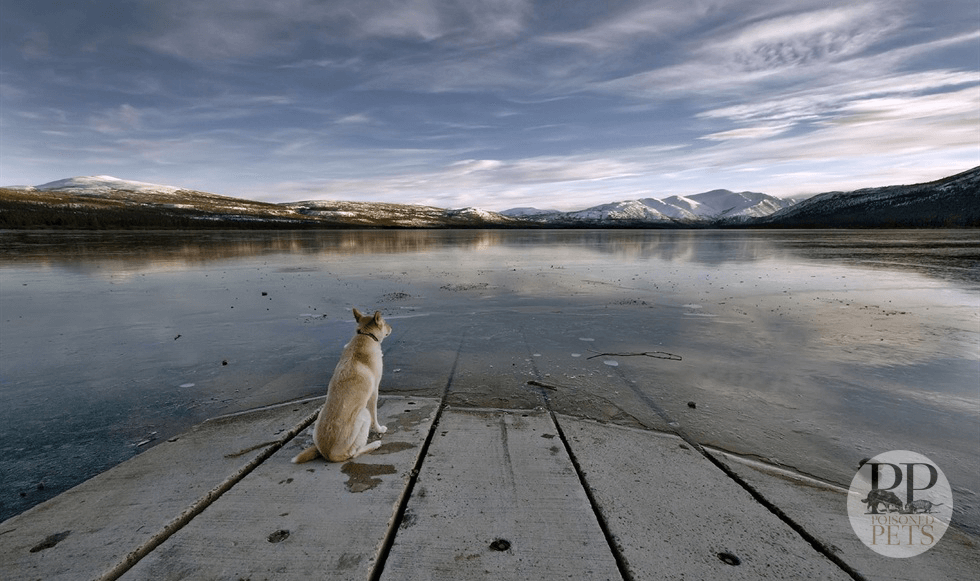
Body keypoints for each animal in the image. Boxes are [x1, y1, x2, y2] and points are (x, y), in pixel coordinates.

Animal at [292, 308, 392, 462]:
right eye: (385, 323)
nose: (391, 327)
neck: (365, 335)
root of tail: (328, 454)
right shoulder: (374, 392)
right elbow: (375, 417)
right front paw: (379, 429)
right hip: (363, 414)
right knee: (354, 453)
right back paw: (375, 444)